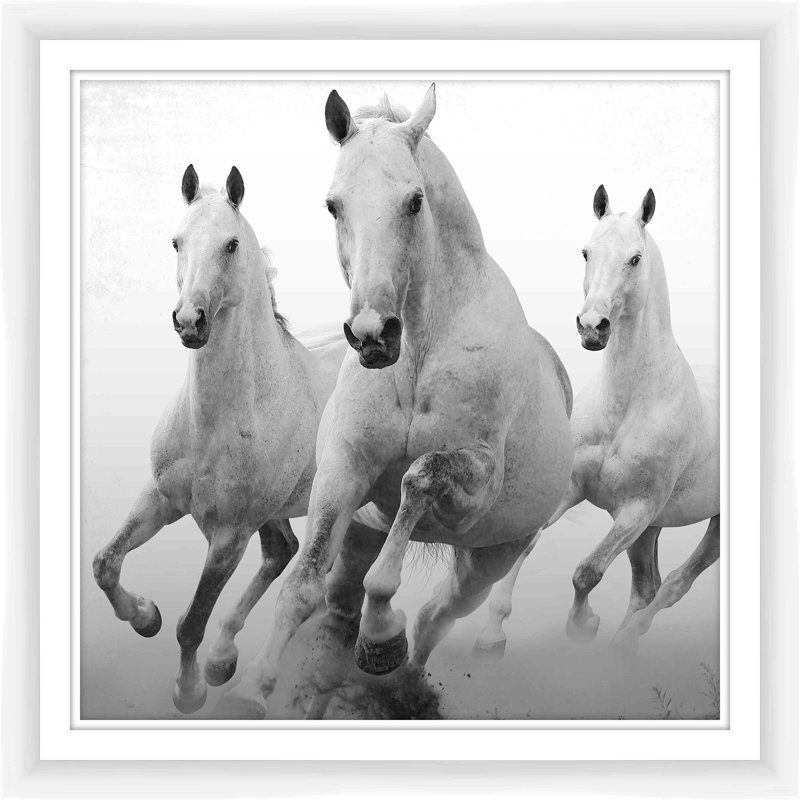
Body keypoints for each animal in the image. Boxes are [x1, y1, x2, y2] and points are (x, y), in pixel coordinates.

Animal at [92, 165, 349, 714]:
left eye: (231, 244)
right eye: (176, 241)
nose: (190, 321)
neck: (215, 424)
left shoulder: (230, 536)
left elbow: (191, 622)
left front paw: (189, 692)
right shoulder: (162, 498)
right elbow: (105, 563)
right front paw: (144, 617)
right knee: (282, 551)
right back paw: (223, 659)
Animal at [215, 85, 574, 719]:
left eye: (414, 201)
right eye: (333, 205)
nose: (372, 334)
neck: (418, 358)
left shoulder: (474, 484)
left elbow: (418, 479)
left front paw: (381, 636)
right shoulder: (343, 470)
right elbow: (302, 584)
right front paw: (253, 691)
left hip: (491, 556)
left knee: (437, 615)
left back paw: (400, 675)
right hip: (364, 538)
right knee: (340, 610)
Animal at [474, 185, 720, 656]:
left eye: (635, 258)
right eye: (586, 252)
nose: (593, 327)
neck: (625, 407)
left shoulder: (636, 509)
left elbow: (587, 572)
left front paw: (582, 625)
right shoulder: (574, 488)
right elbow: (526, 543)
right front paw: (493, 632)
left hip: (705, 525)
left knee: (674, 586)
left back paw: (623, 642)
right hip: (651, 531)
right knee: (647, 586)